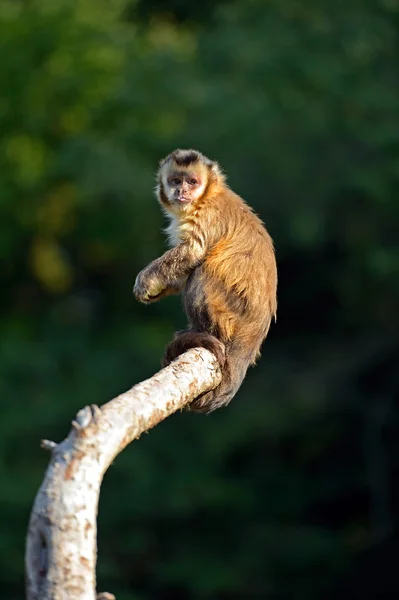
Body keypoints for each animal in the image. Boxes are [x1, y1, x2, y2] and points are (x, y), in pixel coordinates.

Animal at [134, 149, 278, 412]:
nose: (182, 191)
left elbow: (193, 253)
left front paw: (145, 281)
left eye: (192, 182)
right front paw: (155, 291)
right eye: (175, 181)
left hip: (230, 312)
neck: (206, 198)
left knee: (202, 272)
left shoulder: (208, 214)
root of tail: (252, 336)